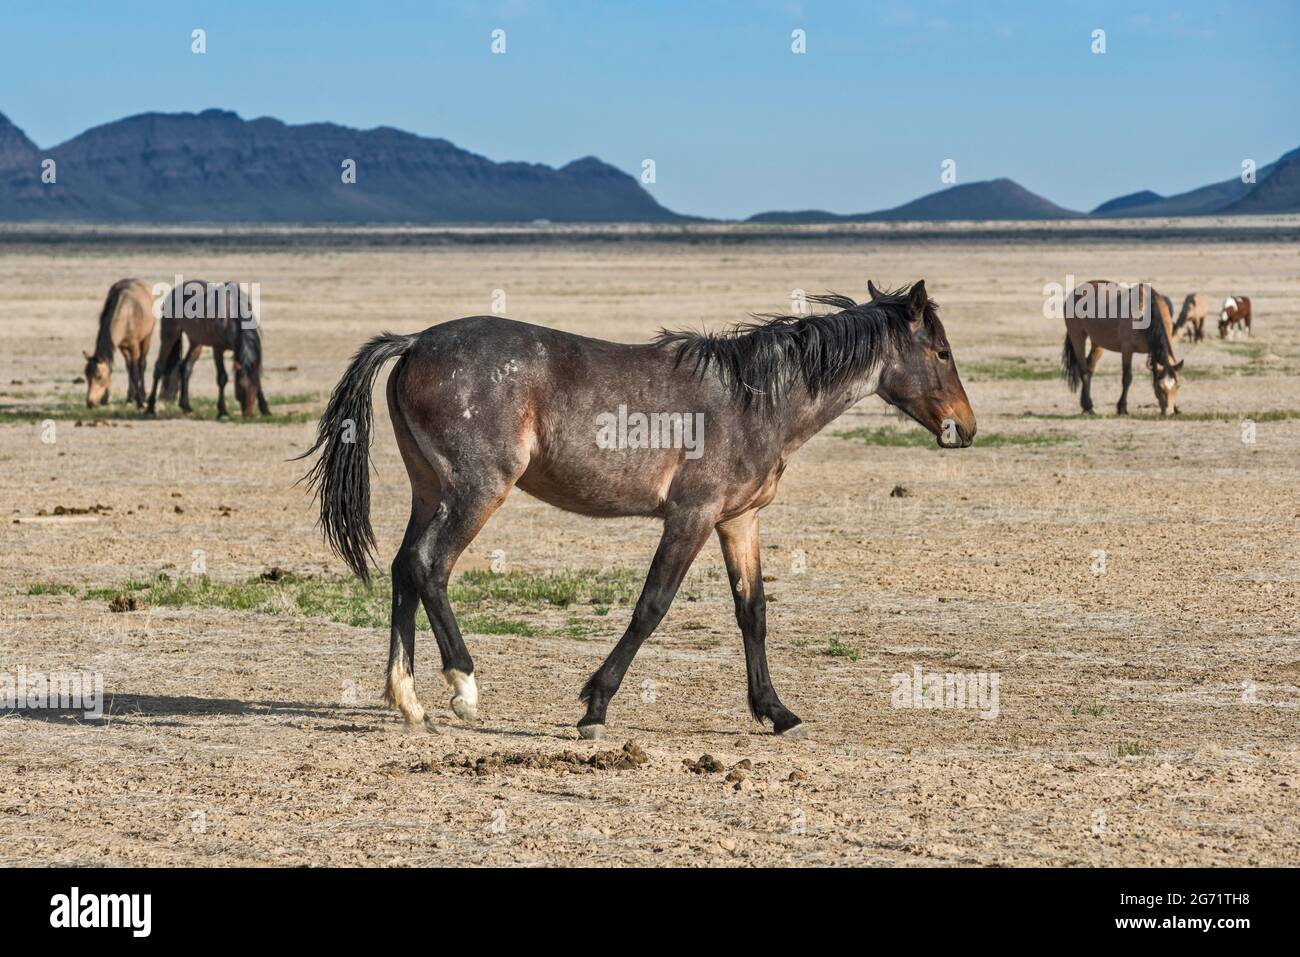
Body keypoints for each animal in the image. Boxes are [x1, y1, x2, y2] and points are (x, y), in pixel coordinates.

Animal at [82, 278, 154, 408]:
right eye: (86, 375)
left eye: (98, 376)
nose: (90, 403)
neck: (126, 315)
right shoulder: (122, 346)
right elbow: (127, 368)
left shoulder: (134, 346)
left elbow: (135, 371)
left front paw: (140, 401)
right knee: (130, 365)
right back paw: (130, 397)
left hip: (147, 338)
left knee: (141, 364)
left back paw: (143, 395)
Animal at [144, 282, 269, 421]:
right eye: (240, 387)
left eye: (254, 388)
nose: (248, 414)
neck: (230, 314)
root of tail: (175, 290)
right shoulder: (218, 349)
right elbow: (222, 378)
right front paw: (222, 411)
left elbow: (256, 377)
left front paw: (265, 409)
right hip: (169, 335)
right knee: (159, 367)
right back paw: (150, 408)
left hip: (196, 341)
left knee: (185, 367)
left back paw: (186, 406)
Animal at [301, 280, 977, 738]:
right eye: (941, 351)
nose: (964, 429)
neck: (756, 401)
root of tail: (416, 342)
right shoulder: (692, 516)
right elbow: (652, 607)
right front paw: (595, 708)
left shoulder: (738, 520)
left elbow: (752, 613)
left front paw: (776, 711)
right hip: (476, 490)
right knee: (429, 566)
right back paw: (463, 688)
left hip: (430, 491)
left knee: (402, 568)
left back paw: (408, 700)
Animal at [1060, 276, 1185, 416]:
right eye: (1159, 386)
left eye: (1178, 386)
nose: (1168, 412)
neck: (1146, 311)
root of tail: (1075, 292)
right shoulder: (1127, 350)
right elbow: (1127, 377)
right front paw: (1122, 407)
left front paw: (1177, 408)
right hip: (1078, 337)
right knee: (1084, 370)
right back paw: (1088, 406)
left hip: (1098, 343)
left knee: (1090, 367)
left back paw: (1085, 404)